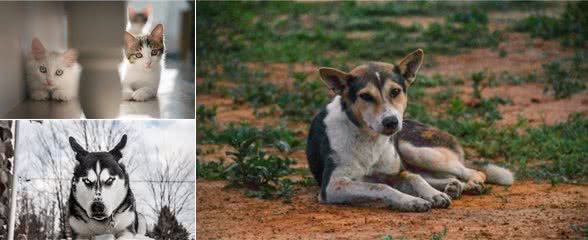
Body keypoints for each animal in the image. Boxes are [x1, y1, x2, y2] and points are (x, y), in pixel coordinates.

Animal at [306, 49, 512, 212]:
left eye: (395, 91)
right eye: (365, 96)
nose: (391, 122)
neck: (370, 139)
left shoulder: (393, 173)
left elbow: (412, 178)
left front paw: (431, 195)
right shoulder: (333, 186)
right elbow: (380, 187)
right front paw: (412, 201)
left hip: (416, 151)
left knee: (471, 173)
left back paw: (468, 184)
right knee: (444, 176)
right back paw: (455, 186)